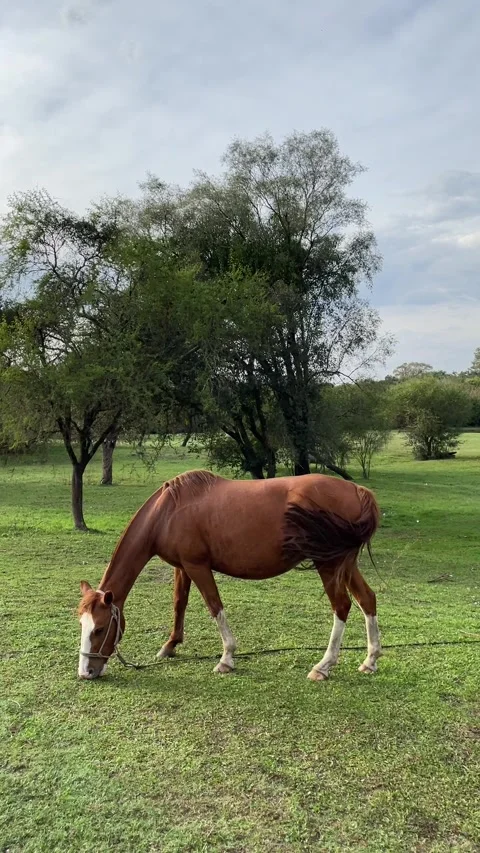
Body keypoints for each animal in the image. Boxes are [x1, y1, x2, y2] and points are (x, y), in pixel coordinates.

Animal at [77, 470, 382, 682]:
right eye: (82, 625)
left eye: (100, 629)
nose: (86, 672)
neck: (168, 512)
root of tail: (357, 490)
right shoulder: (182, 567)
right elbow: (179, 604)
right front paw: (170, 646)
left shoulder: (198, 566)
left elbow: (215, 606)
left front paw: (226, 658)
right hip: (344, 564)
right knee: (367, 599)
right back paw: (370, 660)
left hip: (328, 564)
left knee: (342, 606)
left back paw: (323, 666)